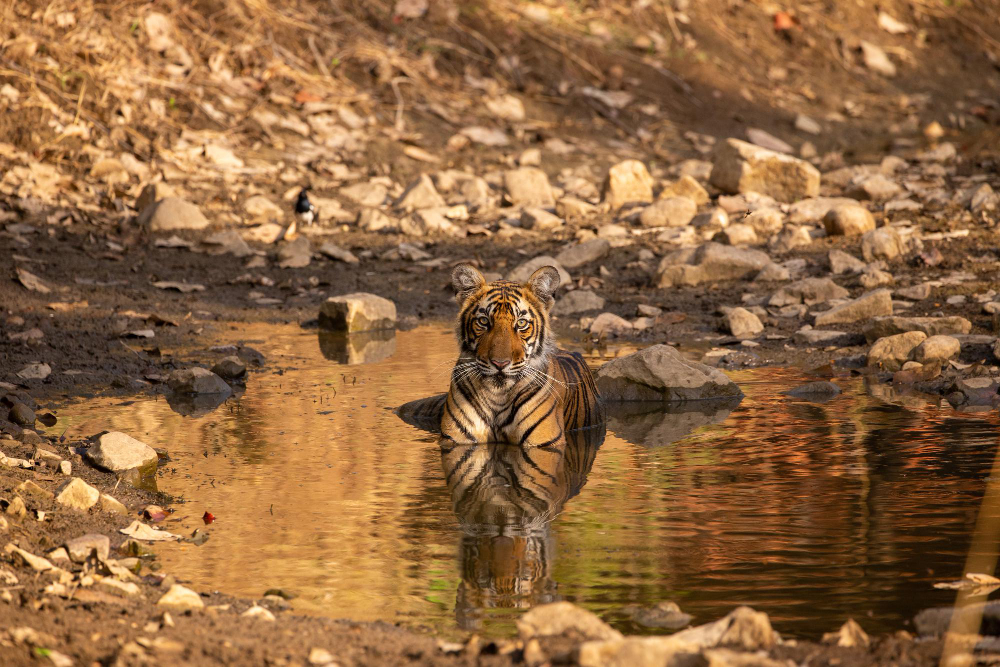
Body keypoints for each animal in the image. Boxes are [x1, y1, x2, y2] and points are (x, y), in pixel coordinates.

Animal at [438, 264, 600, 446]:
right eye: (484, 321)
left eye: (521, 323)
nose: (500, 364)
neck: (497, 396)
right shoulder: (454, 440)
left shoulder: (544, 441)